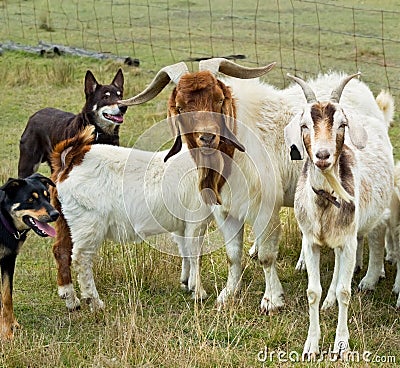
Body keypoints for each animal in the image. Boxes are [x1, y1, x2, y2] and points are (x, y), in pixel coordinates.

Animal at [0, 172, 58, 340]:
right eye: (31, 200)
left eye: (47, 196)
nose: (56, 214)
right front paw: (6, 333)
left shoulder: (8, 260)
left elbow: (7, 296)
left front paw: (9, 328)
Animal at [54, 126, 216, 310]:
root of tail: (72, 158)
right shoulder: (196, 220)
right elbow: (195, 253)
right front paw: (199, 292)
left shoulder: (182, 224)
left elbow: (185, 250)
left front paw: (186, 283)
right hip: (88, 221)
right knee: (82, 257)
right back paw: (94, 302)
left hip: (65, 219)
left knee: (61, 251)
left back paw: (70, 299)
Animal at [284, 72, 394, 356]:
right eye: (304, 125)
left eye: (341, 124)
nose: (323, 155)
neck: (325, 202)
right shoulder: (311, 241)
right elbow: (312, 291)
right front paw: (311, 345)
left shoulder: (347, 240)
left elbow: (346, 291)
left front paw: (341, 344)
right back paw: (329, 298)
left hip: (375, 215)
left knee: (373, 237)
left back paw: (369, 277)